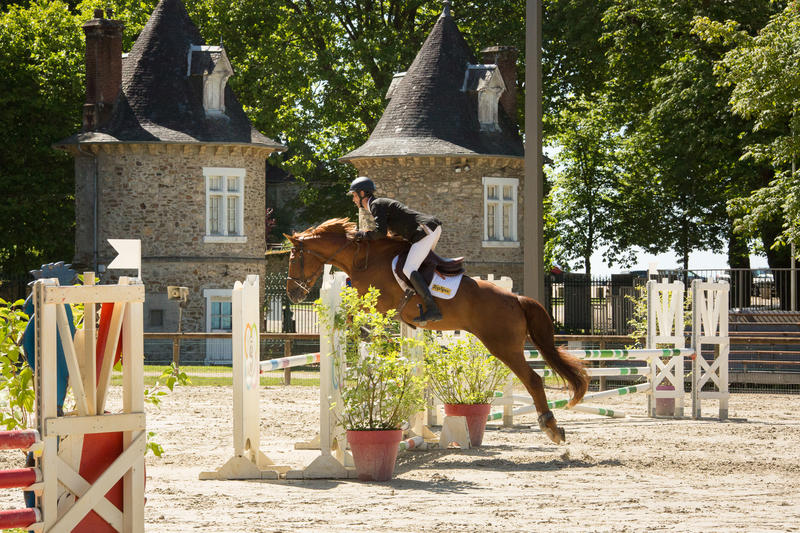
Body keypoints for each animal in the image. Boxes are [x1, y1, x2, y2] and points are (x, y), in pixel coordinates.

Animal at [284, 218, 588, 444]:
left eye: (293, 259)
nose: (292, 294)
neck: (364, 258)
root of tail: (516, 298)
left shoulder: (378, 304)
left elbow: (352, 314)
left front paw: (354, 328)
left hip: (503, 346)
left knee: (533, 380)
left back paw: (551, 427)